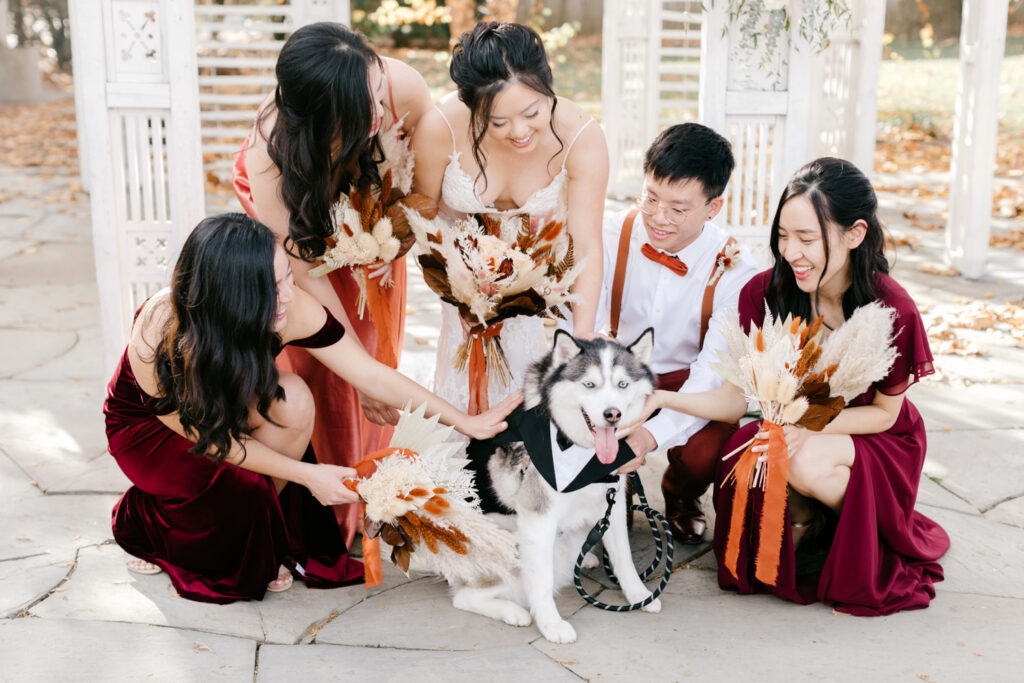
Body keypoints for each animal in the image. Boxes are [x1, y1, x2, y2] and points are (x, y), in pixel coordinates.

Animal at [460, 327, 659, 643]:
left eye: (622, 384)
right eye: (589, 384)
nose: (612, 414)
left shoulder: (612, 505)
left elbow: (624, 557)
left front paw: (639, 595)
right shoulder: (538, 517)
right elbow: (541, 581)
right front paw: (551, 624)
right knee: (464, 595)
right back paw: (512, 612)